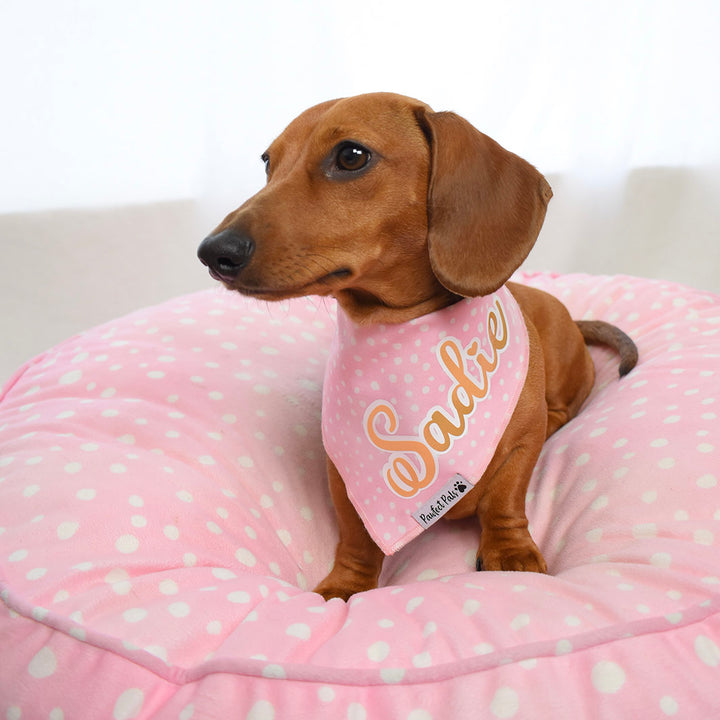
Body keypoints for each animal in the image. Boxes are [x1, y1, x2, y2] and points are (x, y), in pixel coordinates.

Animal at [200, 93, 640, 600]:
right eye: (268, 163)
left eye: (351, 156)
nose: (213, 252)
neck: (402, 328)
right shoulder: (344, 475)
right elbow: (356, 536)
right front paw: (344, 585)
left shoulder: (520, 449)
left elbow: (506, 499)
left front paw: (512, 552)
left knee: (561, 412)